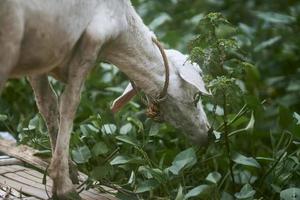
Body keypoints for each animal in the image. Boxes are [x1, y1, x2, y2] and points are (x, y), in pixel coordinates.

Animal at [0, 0, 210, 198]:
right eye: (197, 96)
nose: (208, 133)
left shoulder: (41, 59)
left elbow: (47, 104)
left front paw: (70, 171)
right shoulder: (93, 38)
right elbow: (69, 104)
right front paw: (64, 187)